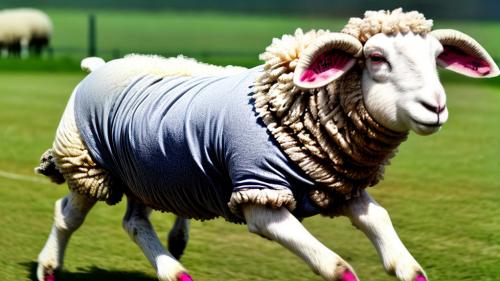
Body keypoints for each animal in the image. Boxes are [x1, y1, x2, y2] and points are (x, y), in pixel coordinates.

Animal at [34, 7, 496, 280]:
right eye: (376, 58)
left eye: (436, 58)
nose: (436, 107)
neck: (293, 109)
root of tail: (99, 65)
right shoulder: (259, 198)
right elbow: (335, 267)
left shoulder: (335, 184)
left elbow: (379, 220)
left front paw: (407, 267)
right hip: (88, 164)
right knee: (65, 216)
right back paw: (49, 266)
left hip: (147, 173)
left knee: (134, 222)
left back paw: (172, 270)